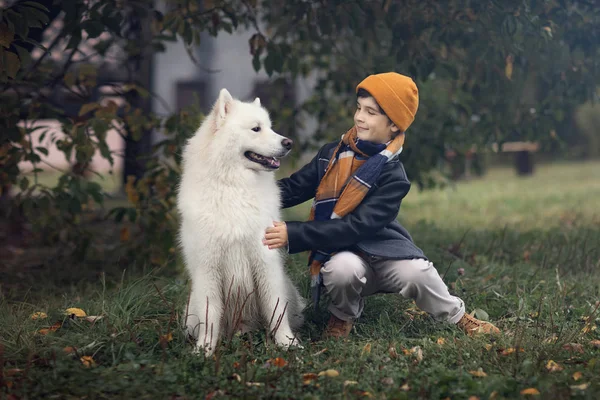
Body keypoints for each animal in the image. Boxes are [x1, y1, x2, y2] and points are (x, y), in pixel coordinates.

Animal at [176, 88, 302, 356]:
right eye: (256, 129)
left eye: (270, 127)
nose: (288, 143)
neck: (234, 186)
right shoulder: (208, 268)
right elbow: (210, 314)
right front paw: (204, 350)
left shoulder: (265, 260)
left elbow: (275, 308)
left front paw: (287, 342)